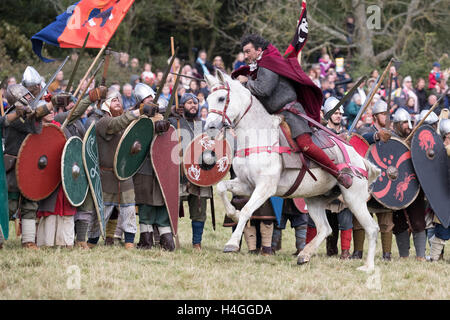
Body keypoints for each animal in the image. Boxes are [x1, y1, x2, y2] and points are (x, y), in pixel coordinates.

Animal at [206, 69, 382, 272]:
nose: (209, 127)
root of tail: (360, 160)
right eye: (208, 99)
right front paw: (232, 213)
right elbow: (221, 187)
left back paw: (368, 267)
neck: (258, 136)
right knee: (325, 228)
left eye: (221, 98)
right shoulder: (247, 185)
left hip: (354, 199)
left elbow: (247, 210)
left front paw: (232, 243)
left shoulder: (265, 188)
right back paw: (304, 254)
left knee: (372, 229)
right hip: (315, 200)